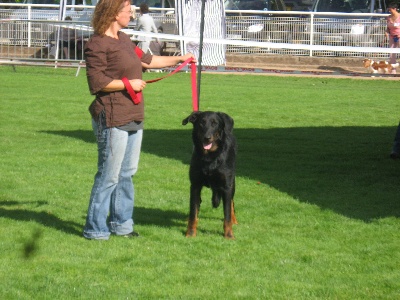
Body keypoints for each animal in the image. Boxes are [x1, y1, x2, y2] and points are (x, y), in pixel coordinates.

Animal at [184, 110, 238, 239]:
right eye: (201, 123)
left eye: (215, 123)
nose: (207, 138)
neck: (210, 157)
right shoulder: (195, 185)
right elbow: (193, 212)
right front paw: (191, 233)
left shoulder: (226, 186)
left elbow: (227, 215)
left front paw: (229, 235)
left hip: (232, 183)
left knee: (232, 203)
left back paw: (234, 220)